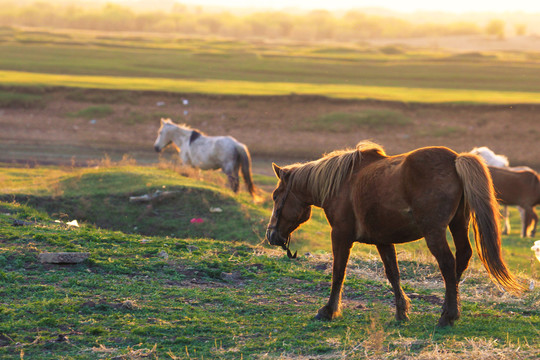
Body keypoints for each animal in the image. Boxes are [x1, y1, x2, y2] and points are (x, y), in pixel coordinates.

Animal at [266, 142, 524, 328]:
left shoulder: (340, 236)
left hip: (435, 233)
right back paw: (450, 309)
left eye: (276, 196)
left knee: (448, 264)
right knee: (461, 260)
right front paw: (402, 312)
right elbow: (393, 274)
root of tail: (454, 160)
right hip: (458, 225)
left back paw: (447, 317)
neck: (342, 184)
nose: (271, 235)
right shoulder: (383, 240)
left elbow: (338, 273)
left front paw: (329, 310)